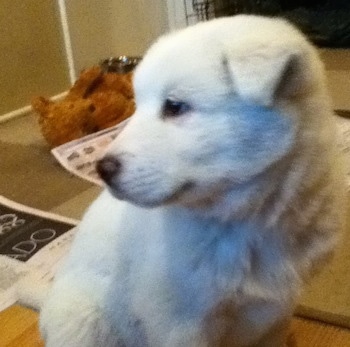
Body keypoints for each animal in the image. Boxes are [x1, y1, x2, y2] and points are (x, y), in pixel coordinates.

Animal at [40, 15, 344, 347]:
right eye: (137, 105)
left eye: (174, 106)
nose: (102, 169)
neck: (247, 221)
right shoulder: (181, 324)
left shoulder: (274, 318)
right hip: (84, 321)